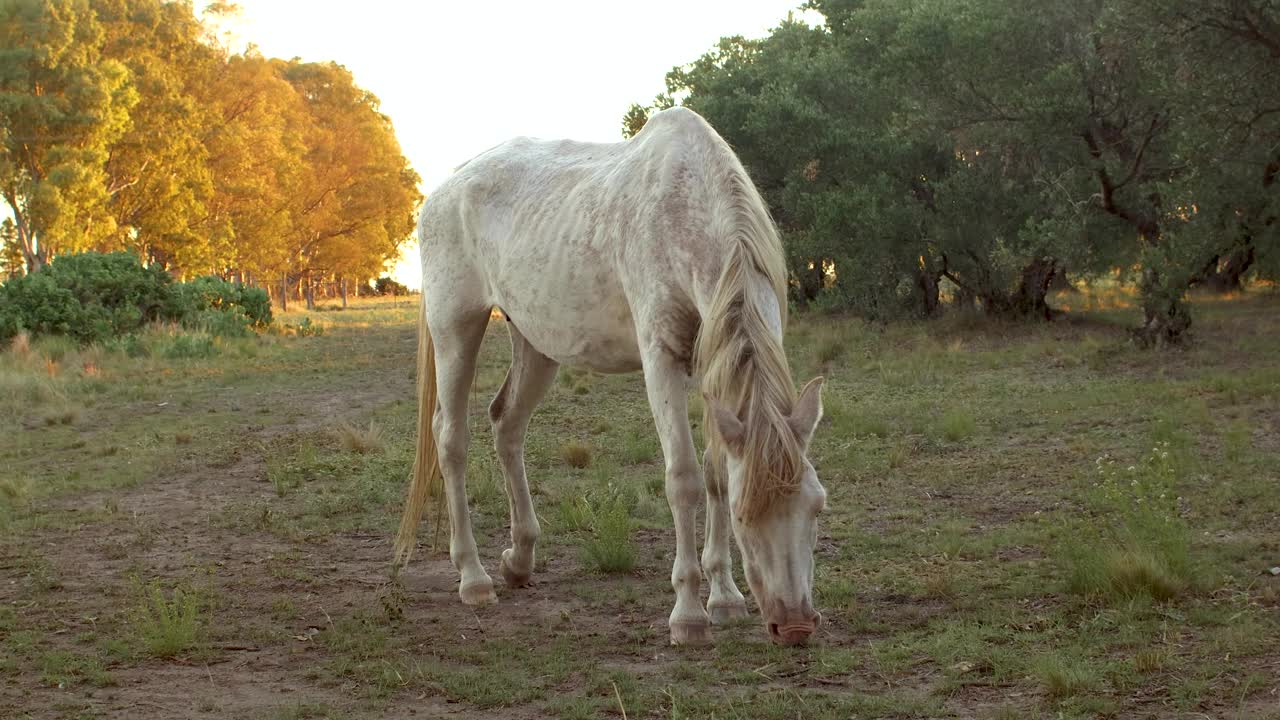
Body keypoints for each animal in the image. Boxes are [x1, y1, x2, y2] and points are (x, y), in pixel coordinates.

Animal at [391, 105, 829, 645]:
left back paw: (520, 559)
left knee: (506, 425)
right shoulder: (661, 359)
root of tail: (446, 186)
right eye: (747, 517)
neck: (685, 213)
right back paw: (474, 578)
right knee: (451, 440)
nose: (795, 625)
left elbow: (714, 474)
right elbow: (683, 477)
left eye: (817, 506)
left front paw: (725, 598)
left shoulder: (716, 373)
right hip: (456, 328)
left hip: (536, 345)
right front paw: (688, 614)